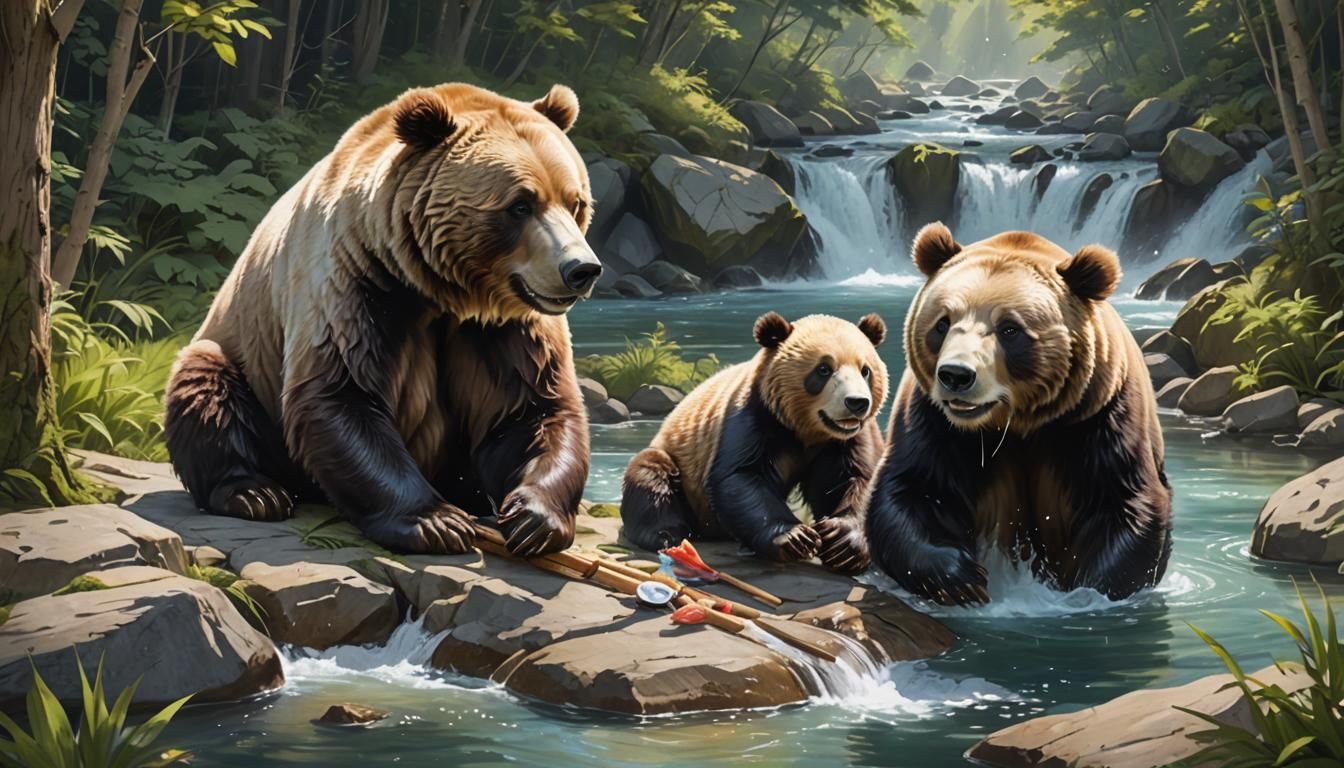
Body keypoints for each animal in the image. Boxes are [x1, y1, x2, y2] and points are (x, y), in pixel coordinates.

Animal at [163, 83, 602, 557]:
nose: (581, 269)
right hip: (240, 358)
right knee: (206, 384)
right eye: (520, 205)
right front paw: (436, 521)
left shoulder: (504, 324)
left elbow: (531, 406)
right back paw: (253, 492)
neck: (442, 289)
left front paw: (532, 518)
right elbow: (341, 393)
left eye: (575, 202)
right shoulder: (358, 281)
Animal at [621, 312, 889, 573]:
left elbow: (856, 476)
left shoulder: (849, 436)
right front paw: (794, 537)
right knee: (652, 474)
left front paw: (844, 545)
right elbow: (741, 475)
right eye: (823, 370)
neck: (809, 429)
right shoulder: (754, 413)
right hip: (679, 466)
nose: (857, 402)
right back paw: (667, 534)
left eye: (865, 370)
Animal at [866, 223, 1172, 605]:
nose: (956, 375)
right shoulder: (934, 419)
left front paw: (1088, 589)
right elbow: (914, 488)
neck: (1015, 423)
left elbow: (1123, 500)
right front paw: (963, 580)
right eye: (942, 323)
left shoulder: (1097, 415)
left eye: (1009, 329)